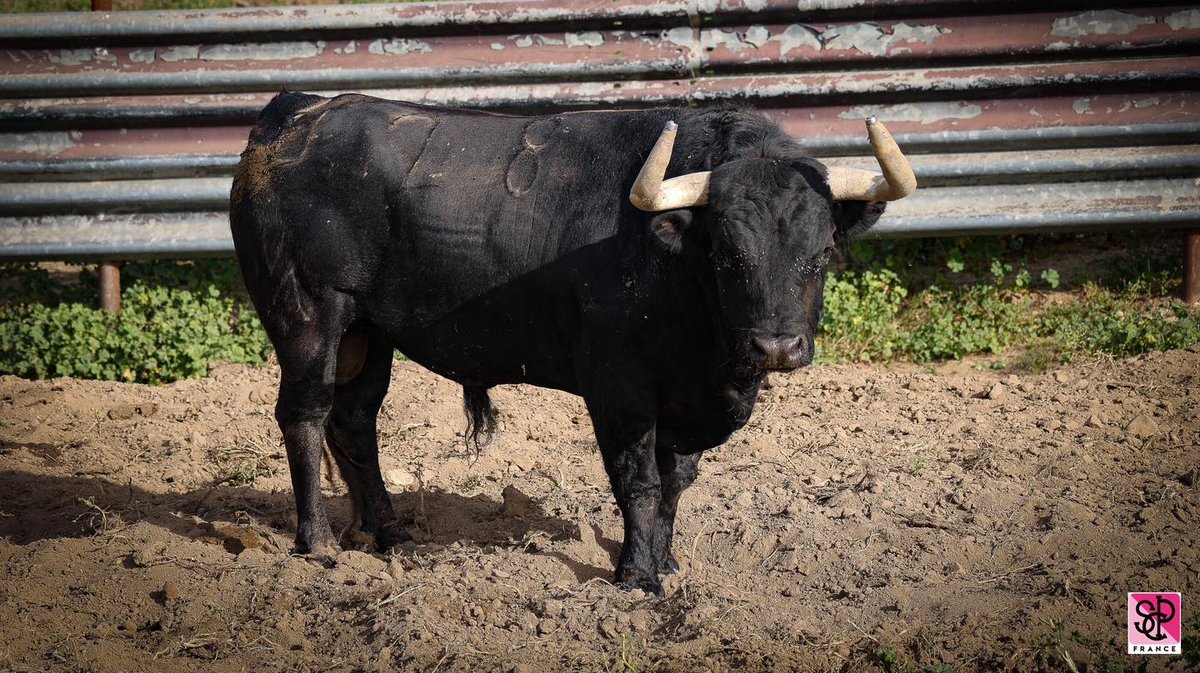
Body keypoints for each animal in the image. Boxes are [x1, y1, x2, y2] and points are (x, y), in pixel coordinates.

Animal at [234, 90, 888, 592]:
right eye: (728, 257)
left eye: (820, 255)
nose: (775, 349)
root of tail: (294, 113)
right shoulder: (619, 386)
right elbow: (638, 481)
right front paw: (636, 576)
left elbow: (675, 483)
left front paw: (667, 563)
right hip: (309, 316)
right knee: (304, 415)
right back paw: (318, 543)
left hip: (367, 334)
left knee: (355, 420)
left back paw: (387, 532)